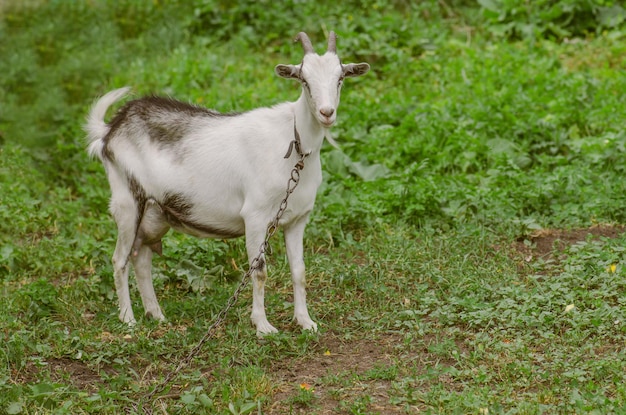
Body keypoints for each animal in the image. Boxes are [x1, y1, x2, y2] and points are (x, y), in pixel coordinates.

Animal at [86, 30, 370, 336]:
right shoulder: (255, 217)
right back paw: (128, 319)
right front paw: (263, 326)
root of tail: (110, 130)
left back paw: (156, 314)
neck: (293, 142)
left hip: (155, 212)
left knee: (141, 258)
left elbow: (299, 271)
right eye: (304, 80)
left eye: (340, 77)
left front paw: (305, 321)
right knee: (120, 259)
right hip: (127, 202)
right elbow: (259, 271)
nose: (326, 112)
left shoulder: (297, 220)